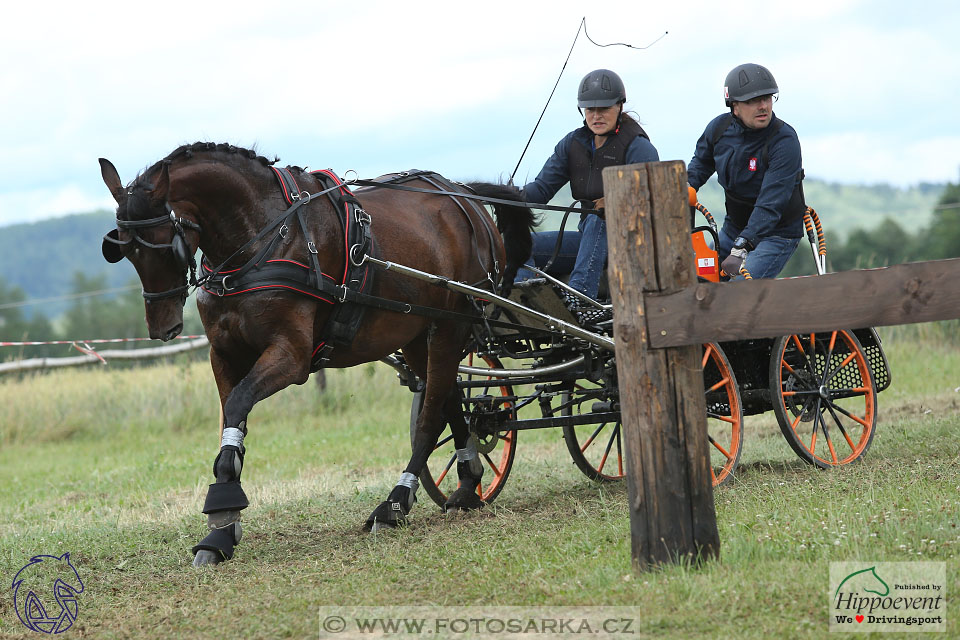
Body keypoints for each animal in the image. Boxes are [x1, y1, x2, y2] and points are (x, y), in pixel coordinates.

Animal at [100, 141, 536, 564]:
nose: (163, 328)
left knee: (430, 418)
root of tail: (465, 197)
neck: (262, 236)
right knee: (448, 400)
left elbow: (239, 403)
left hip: (450, 326)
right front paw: (221, 529)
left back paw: (395, 504)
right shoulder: (223, 354)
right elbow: (231, 421)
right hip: (416, 336)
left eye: (165, 246)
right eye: (124, 250)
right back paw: (468, 484)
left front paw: (222, 510)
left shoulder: (291, 356)